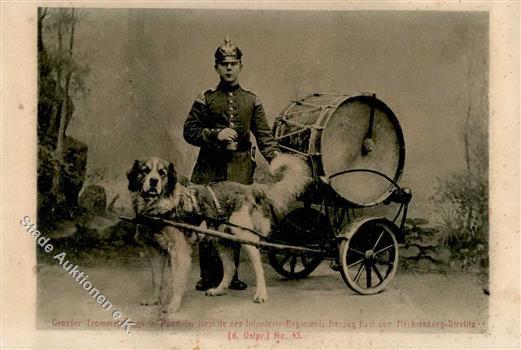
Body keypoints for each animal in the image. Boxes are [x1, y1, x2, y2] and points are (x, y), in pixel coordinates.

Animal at [128, 154, 310, 314]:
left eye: (162, 173)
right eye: (145, 171)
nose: (153, 181)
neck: (159, 207)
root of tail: (247, 188)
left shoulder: (179, 251)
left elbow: (176, 281)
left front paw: (173, 305)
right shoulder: (155, 251)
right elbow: (157, 279)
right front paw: (154, 299)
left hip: (245, 236)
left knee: (258, 266)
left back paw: (261, 294)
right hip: (222, 242)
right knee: (230, 267)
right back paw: (219, 289)